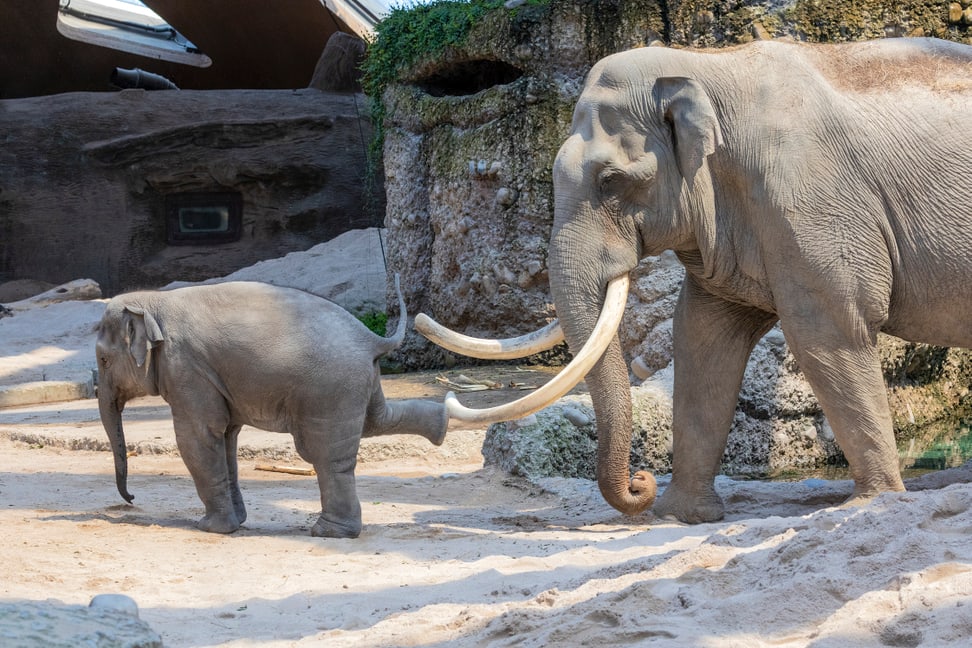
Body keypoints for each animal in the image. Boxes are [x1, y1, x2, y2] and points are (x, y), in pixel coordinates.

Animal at [97, 276, 446, 540]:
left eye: (103, 360)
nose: (131, 499)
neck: (153, 301)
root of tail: (371, 338)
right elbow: (226, 436)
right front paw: (236, 523)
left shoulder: (186, 369)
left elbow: (197, 437)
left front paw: (210, 528)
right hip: (359, 380)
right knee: (376, 421)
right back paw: (443, 422)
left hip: (329, 390)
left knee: (324, 456)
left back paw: (328, 533)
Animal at [416, 38, 972, 524]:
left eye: (611, 182)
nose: (640, 481)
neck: (702, 64)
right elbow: (704, 336)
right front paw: (680, 515)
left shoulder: (811, 201)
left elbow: (829, 327)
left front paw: (873, 504)